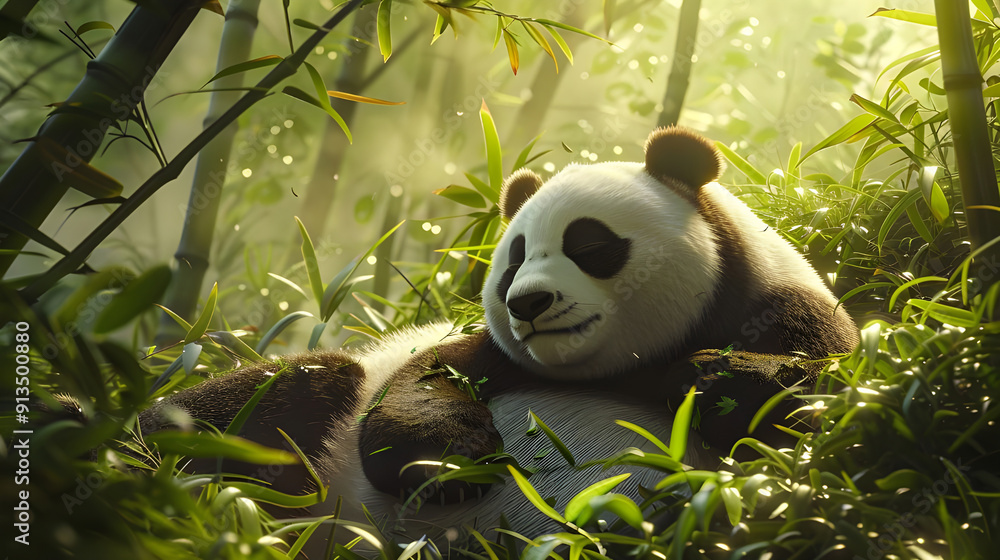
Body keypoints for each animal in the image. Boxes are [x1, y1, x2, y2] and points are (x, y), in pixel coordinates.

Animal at [138, 127, 858, 548]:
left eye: (589, 245)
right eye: (512, 260)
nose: (528, 303)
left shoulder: (786, 311)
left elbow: (821, 400)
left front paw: (710, 377)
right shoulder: (488, 351)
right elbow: (418, 392)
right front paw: (456, 461)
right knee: (277, 399)